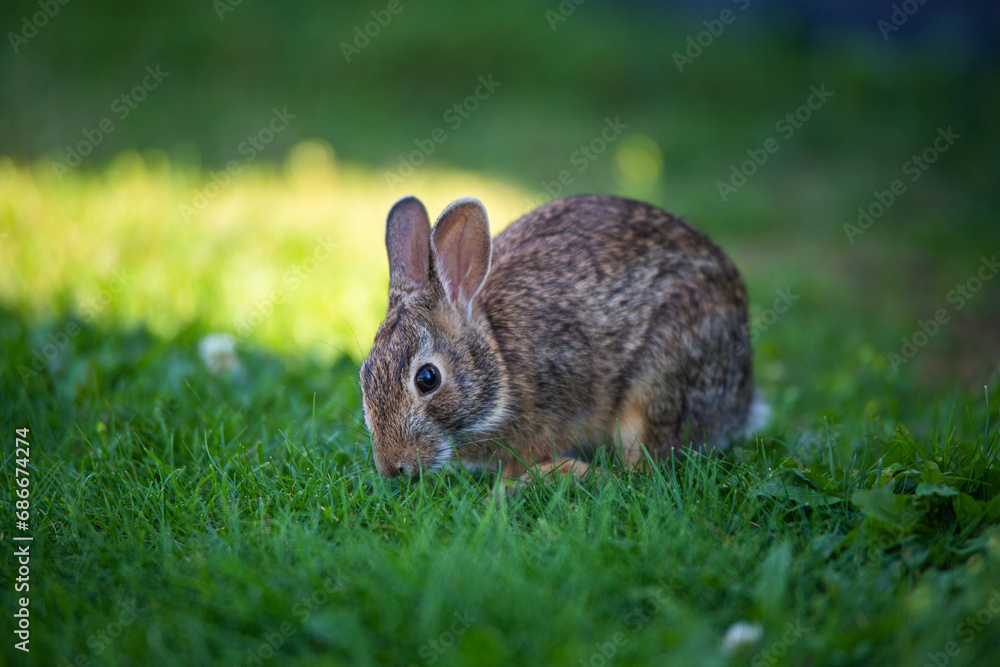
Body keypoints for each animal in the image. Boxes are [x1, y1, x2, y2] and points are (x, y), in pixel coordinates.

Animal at [359, 194, 768, 481]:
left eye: (427, 379)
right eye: (364, 376)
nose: (393, 468)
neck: (500, 360)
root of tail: (742, 398)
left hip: (660, 386)